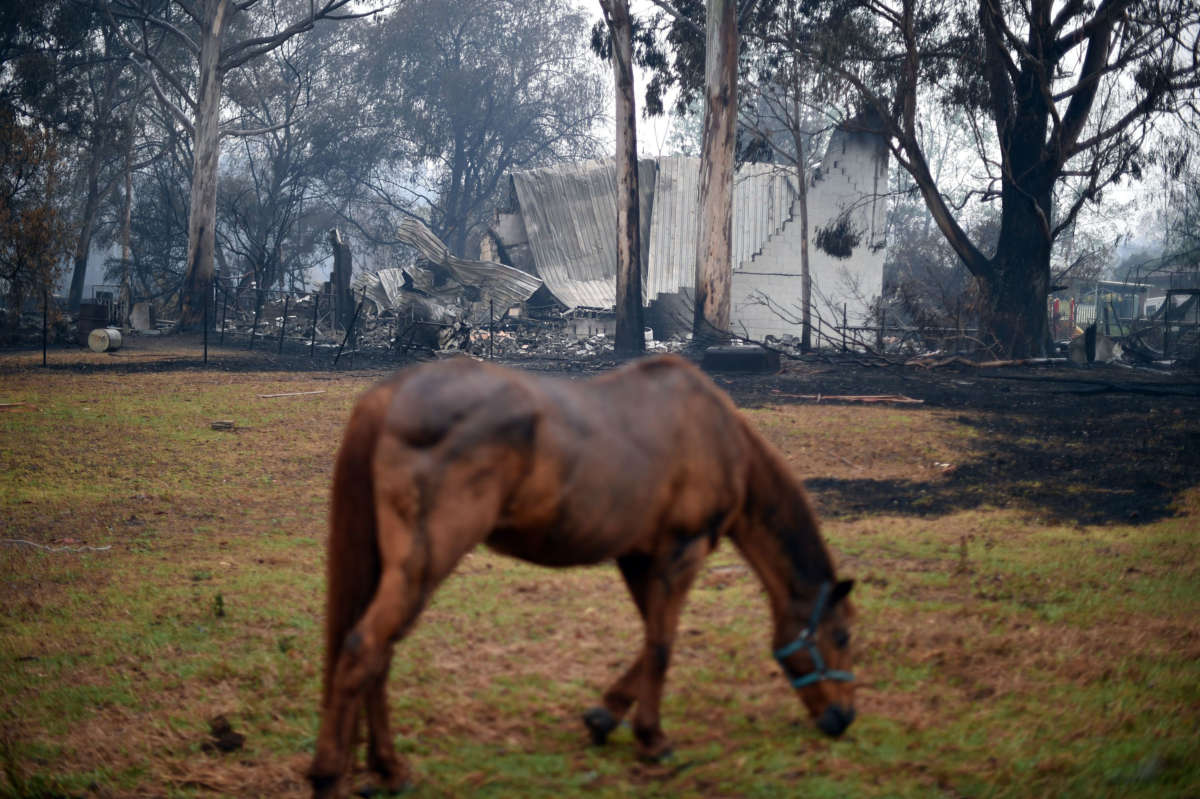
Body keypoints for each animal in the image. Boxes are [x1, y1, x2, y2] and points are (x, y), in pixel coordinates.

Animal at [309, 355, 854, 796]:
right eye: (843, 636)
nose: (843, 718)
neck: (717, 434)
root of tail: (390, 394)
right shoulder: (683, 550)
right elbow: (662, 645)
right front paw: (652, 739)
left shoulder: (639, 557)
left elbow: (649, 639)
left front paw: (605, 716)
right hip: (424, 562)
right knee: (364, 649)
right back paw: (330, 776)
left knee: (378, 657)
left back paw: (389, 770)